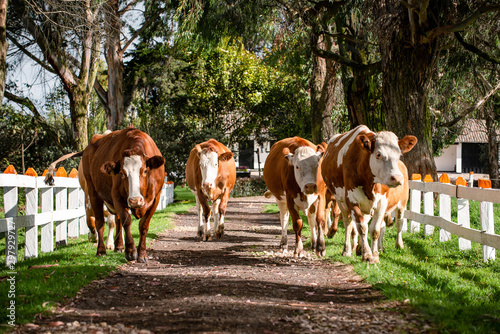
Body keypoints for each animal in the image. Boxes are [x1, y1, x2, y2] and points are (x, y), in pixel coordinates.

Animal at [45, 126, 165, 262]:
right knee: (100, 222)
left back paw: (119, 246)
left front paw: (142, 254)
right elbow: (127, 221)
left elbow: (143, 225)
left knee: (117, 221)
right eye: (122, 173)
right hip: (93, 192)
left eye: (145, 170)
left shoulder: (156, 198)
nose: (135, 200)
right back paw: (101, 249)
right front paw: (130, 251)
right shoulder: (116, 196)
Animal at [320, 125, 418, 264]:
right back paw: (348, 250)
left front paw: (375, 255)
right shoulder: (351, 200)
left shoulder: (382, 201)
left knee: (399, 221)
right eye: (378, 154)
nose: (397, 178)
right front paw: (367, 254)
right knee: (348, 223)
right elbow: (361, 227)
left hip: (402, 202)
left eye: (399, 154)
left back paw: (398, 245)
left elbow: (375, 229)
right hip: (341, 201)